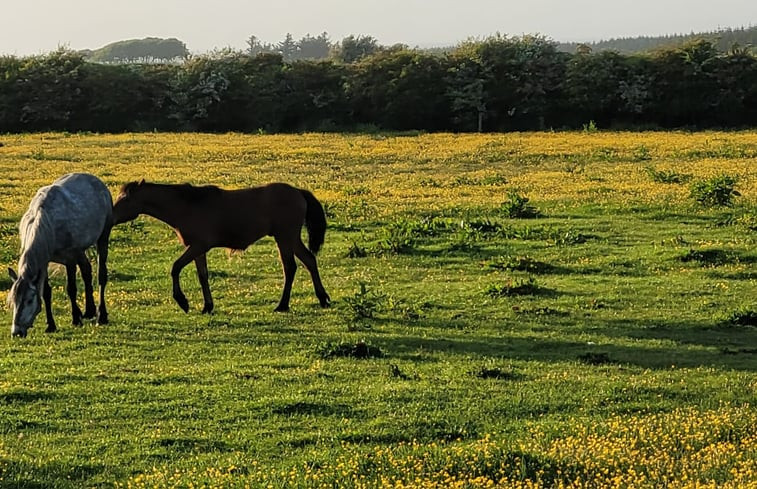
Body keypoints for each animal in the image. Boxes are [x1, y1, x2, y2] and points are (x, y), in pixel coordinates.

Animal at [6, 173, 113, 338]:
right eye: (13, 300)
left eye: (29, 300)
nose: (16, 332)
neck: (46, 222)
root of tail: (98, 182)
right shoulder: (44, 261)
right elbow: (46, 292)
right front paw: (51, 325)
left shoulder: (70, 258)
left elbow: (71, 288)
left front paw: (75, 318)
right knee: (87, 271)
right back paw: (89, 311)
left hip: (102, 238)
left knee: (101, 275)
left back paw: (101, 316)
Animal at [114, 179, 330, 312]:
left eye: (125, 198)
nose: (111, 214)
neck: (186, 206)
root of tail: (298, 192)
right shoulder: (197, 249)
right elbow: (202, 276)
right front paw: (207, 306)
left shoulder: (198, 246)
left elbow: (175, 268)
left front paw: (182, 301)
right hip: (291, 238)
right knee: (309, 261)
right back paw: (322, 298)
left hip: (284, 238)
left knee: (290, 268)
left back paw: (282, 305)